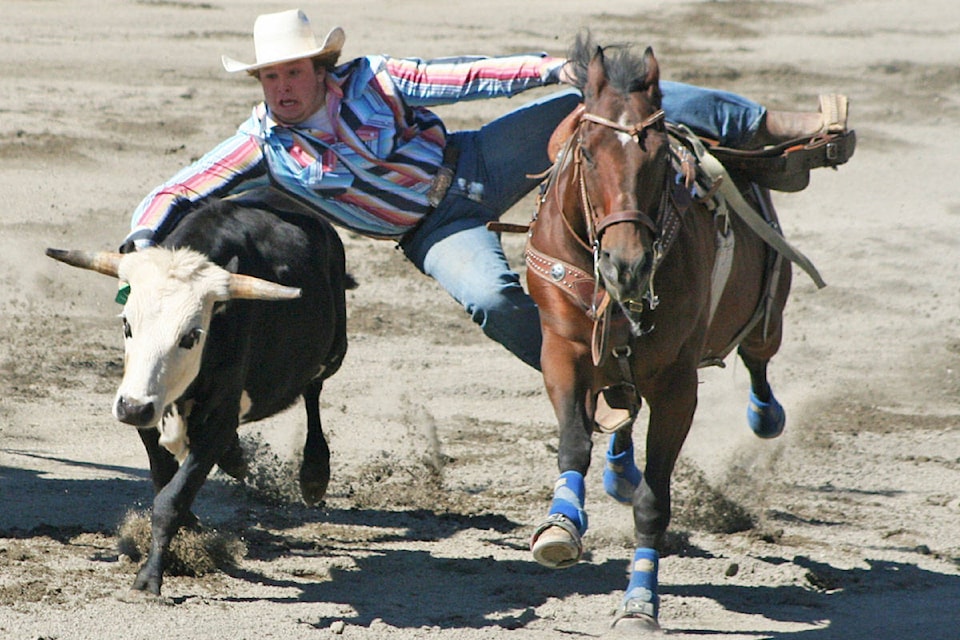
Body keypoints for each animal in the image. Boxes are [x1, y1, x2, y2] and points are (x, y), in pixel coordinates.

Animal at [528, 36, 792, 632]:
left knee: (759, 357)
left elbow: (654, 501)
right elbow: (573, 442)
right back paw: (618, 463)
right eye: (588, 152)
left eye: (655, 159)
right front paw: (560, 525)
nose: (626, 265)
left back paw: (765, 414)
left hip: (769, 311)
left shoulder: (676, 386)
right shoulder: (562, 350)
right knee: (621, 405)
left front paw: (639, 603)